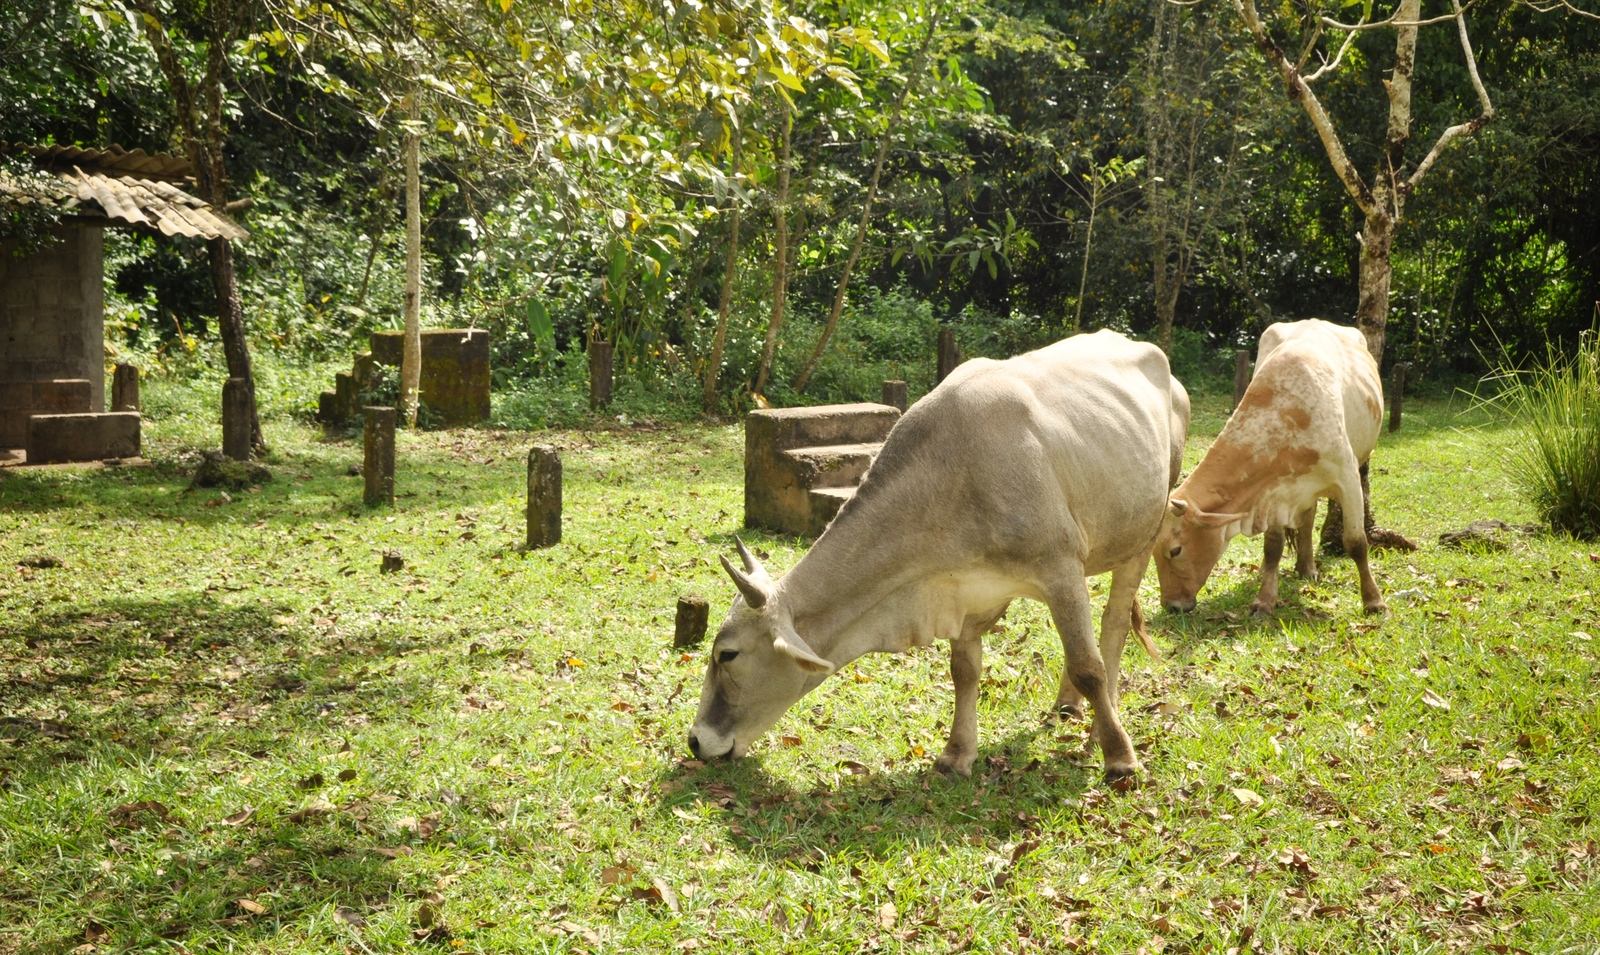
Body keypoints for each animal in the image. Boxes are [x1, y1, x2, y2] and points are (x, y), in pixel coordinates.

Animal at [688, 330, 1191, 782]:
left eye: (727, 654)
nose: (695, 741)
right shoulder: (965, 588)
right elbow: (964, 670)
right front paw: (956, 755)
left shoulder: (1059, 568)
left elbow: (1089, 666)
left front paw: (1121, 760)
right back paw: (1067, 705)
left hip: (1145, 527)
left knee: (1113, 624)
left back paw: (1101, 727)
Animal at [1152, 318, 1386, 616]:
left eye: (1175, 550)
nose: (1171, 605)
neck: (1288, 415)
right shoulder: (1274, 490)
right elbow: (1273, 546)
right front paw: (1264, 599)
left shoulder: (1347, 479)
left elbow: (1356, 543)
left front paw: (1374, 601)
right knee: (1307, 519)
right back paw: (1303, 566)